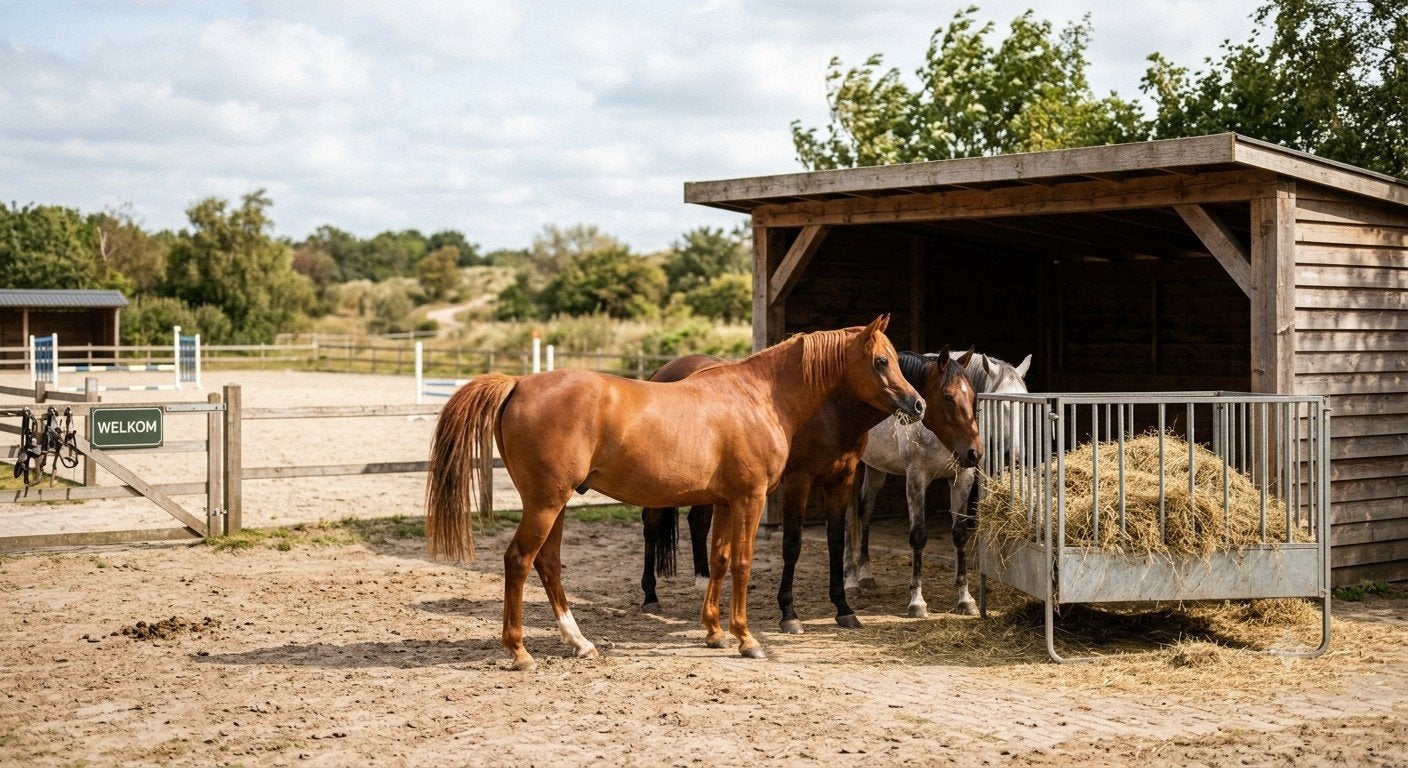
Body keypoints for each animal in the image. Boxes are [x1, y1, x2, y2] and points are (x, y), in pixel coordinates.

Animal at [425, 316, 925, 670]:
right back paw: (519, 651)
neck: (757, 396)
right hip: (546, 504)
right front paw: (747, 639)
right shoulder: (750, 499)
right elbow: (742, 564)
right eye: (881, 361)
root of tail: (518, 383)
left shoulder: (724, 502)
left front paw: (715, 632)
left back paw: (580, 643)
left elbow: (719, 560)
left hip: (555, 504)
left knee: (547, 564)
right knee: (519, 561)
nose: (917, 404)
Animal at [639, 349, 983, 635]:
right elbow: (792, 544)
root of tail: (664, 370)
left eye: (975, 397)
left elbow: (836, 540)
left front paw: (844, 609)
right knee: (652, 526)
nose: (974, 453)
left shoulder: (841, 481)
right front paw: (788, 613)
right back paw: (650, 596)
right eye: (948, 397)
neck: (831, 410)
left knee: (697, 521)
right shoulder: (798, 483)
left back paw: (703, 580)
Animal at [846, 352, 1031, 617]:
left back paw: (866, 576)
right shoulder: (916, 478)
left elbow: (960, 534)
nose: (1014, 457)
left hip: (876, 469)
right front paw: (917, 602)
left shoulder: (962, 478)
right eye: (1001, 406)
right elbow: (918, 536)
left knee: (865, 510)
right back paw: (851, 582)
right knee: (849, 516)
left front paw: (965, 598)